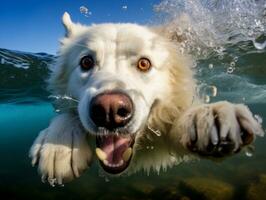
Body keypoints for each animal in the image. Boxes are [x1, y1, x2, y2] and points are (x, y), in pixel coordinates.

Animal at [29, 12, 264, 186]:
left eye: (144, 63)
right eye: (86, 62)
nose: (109, 111)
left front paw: (207, 116)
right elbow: (67, 114)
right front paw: (59, 144)